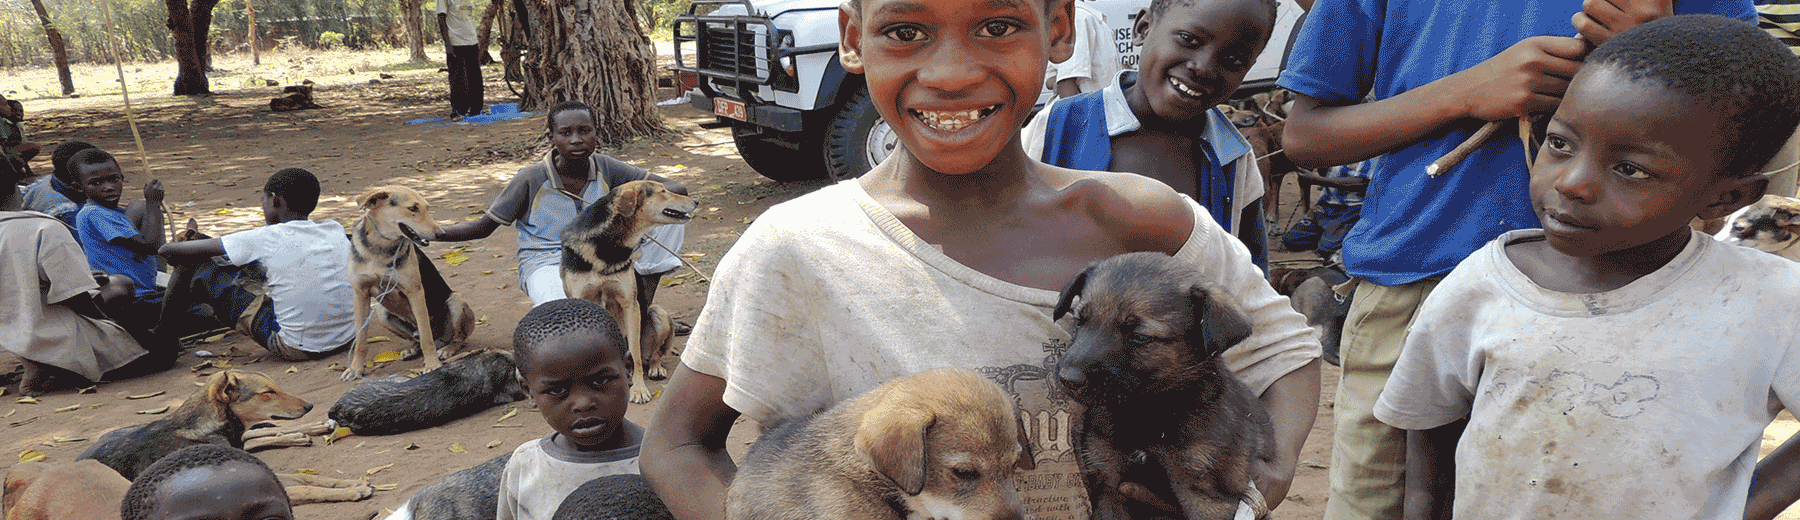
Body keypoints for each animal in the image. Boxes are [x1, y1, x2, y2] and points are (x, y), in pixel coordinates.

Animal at [561, 179, 694, 403]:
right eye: (662, 191)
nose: (696, 201)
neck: (607, 244)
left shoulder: (629, 305)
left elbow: (635, 353)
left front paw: (639, 389)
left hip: (657, 313)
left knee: (653, 355)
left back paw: (655, 369)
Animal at [1051, 250, 1288, 514]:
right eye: (1079, 321)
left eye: (1140, 337)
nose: (1068, 379)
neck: (1147, 411)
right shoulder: (1108, 482)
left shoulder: (1208, 497)